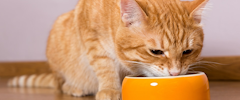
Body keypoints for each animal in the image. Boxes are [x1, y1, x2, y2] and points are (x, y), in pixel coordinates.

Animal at [8, 0, 209, 99]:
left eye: (187, 52)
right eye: (156, 52)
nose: (175, 73)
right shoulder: (92, 38)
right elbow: (105, 67)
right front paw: (110, 90)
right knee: (61, 85)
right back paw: (74, 87)